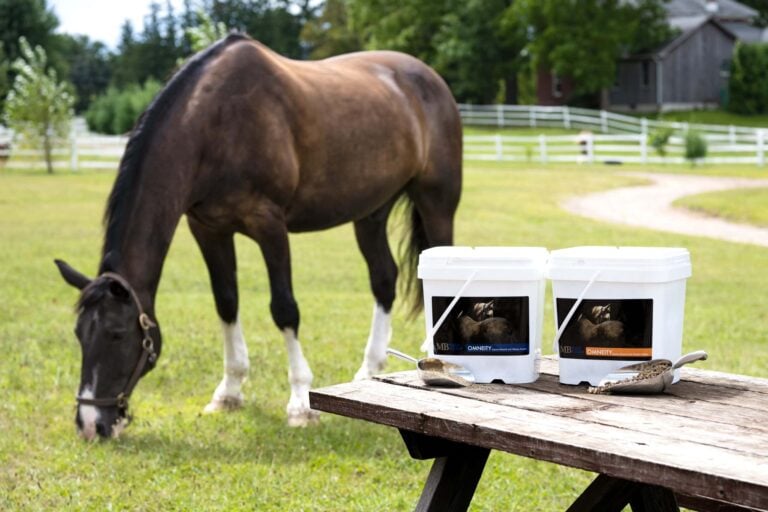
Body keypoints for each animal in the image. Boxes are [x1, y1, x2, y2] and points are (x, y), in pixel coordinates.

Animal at [55, 33, 462, 440]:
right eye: (78, 334)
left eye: (116, 334)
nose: (90, 424)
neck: (215, 125)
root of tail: (429, 78)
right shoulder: (209, 229)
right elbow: (226, 302)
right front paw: (229, 392)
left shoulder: (269, 225)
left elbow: (284, 309)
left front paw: (300, 403)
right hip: (370, 212)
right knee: (384, 279)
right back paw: (369, 370)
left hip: (436, 203)